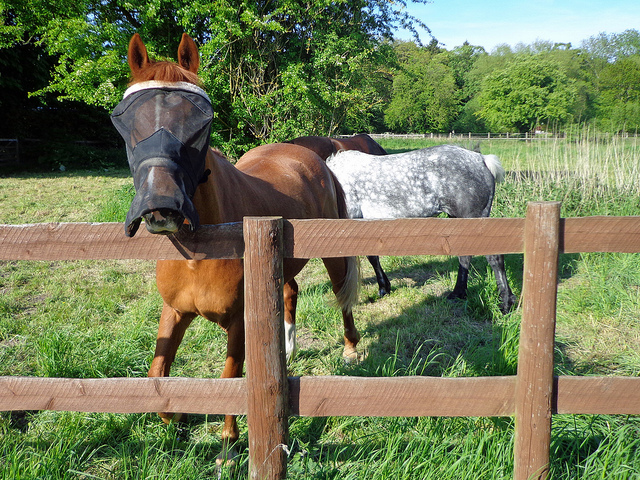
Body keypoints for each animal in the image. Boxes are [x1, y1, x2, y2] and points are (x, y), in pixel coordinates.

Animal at [111, 33, 361, 466]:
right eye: (126, 121)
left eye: (201, 122)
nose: (161, 206)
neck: (200, 252)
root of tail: (314, 158)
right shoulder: (175, 311)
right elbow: (157, 374)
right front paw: (178, 416)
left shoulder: (239, 322)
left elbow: (230, 378)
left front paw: (228, 446)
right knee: (290, 291)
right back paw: (287, 350)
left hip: (331, 256)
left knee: (341, 292)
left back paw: (348, 350)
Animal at [326, 145, 517, 314]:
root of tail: (481, 159)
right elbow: (373, 257)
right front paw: (385, 287)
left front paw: (381, 288)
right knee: (465, 256)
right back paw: (458, 294)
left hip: (474, 219)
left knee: (494, 258)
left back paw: (505, 304)